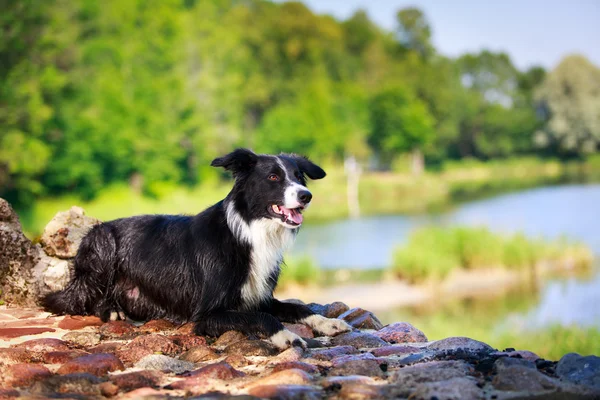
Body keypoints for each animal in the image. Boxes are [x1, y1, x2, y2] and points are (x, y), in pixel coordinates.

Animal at [43, 148, 352, 348]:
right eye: (274, 177)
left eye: (299, 176)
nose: (306, 195)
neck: (250, 232)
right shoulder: (207, 315)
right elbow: (261, 317)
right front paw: (287, 336)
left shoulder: (259, 296)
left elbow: (295, 307)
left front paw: (326, 322)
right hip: (103, 242)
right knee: (79, 301)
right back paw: (111, 311)